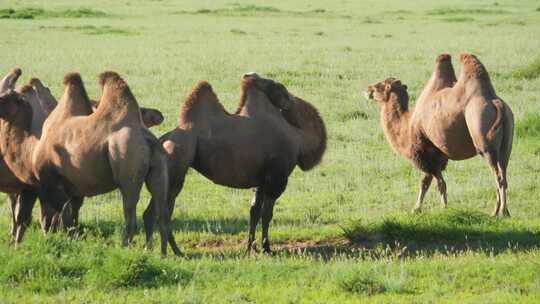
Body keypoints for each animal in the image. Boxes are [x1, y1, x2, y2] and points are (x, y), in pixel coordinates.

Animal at [32, 72, 180, 255]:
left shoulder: (51, 179)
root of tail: (147, 138)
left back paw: (124, 248)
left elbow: (60, 214)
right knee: (162, 211)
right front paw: (71, 239)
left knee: (131, 214)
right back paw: (163, 253)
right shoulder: (74, 188)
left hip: (127, 166)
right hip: (159, 168)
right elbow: (71, 216)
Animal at [143, 72, 326, 253]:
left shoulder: (261, 180)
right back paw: (168, 251)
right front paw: (266, 247)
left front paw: (250, 246)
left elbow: (254, 211)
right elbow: (267, 214)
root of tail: (161, 141)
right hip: (176, 173)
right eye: (280, 88)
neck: (299, 139)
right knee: (161, 212)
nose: (289, 99)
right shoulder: (276, 179)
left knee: (156, 211)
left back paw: (159, 250)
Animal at [368, 53, 516, 217]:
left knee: (498, 176)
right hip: (506, 144)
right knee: (503, 173)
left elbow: (438, 183)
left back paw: (499, 212)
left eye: (380, 86)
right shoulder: (439, 155)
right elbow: (427, 182)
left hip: (484, 140)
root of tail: (496, 103)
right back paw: (503, 212)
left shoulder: (425, 153)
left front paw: (443, 208)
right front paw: (417, 208)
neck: (407, 125)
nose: (368, 89)